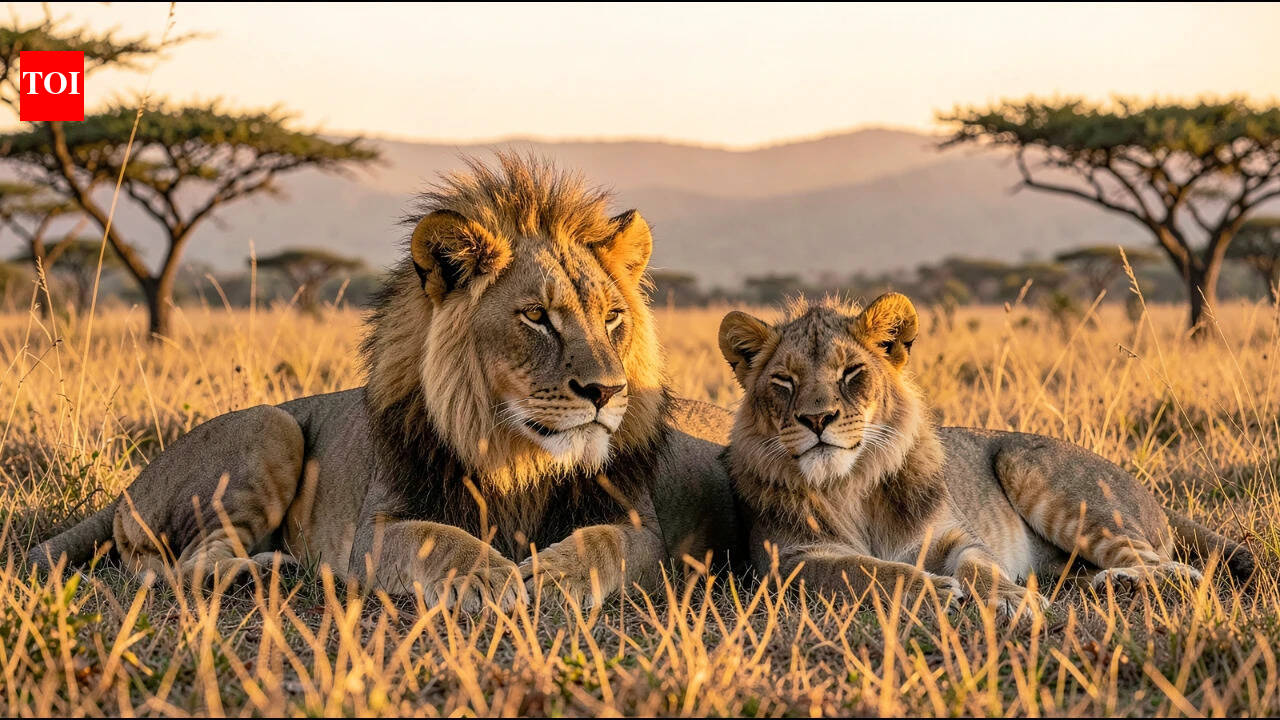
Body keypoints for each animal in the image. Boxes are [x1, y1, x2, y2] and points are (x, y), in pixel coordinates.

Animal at [31, 154, 737, 610]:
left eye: (613, 317)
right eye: (536, 316)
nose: (608, 393)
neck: (521, 459)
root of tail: (126, 493)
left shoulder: (642, 531)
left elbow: (604, 546)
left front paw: (553, 576)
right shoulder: (372, 530)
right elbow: (438, 540)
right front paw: (494, 578)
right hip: (272, 426)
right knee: (170, 567)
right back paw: (265, 573)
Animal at [719, 292, 1254, 615]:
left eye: (852, 372)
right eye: (783, 381)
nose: (817, 420)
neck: (852, 483)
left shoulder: (950, 536)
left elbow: (980, 565)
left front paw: (1014, 598)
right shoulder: (788, 562)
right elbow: (862, 569)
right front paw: (931, 589)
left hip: (1033, 468)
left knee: (1173, 566)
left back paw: (1137, 582)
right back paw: (1108, 585)